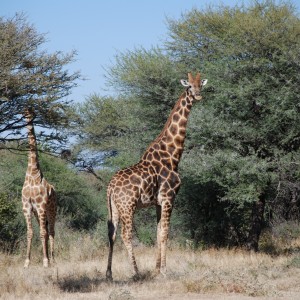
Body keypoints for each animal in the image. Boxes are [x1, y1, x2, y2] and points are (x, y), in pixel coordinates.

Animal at [106, 71, 207, 280]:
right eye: (189, 86)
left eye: (201, 85)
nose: (198, 95)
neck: (172, 154)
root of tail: (110, 187)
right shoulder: (169, 197)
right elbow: (165, 232)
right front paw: (164, 271)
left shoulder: (158, 202)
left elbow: (158, 230)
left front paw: (156, 269)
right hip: (128, 206)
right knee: (126, 234)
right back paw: (136, 272)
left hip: (114, 208)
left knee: (111, 233)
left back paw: (109, 274)